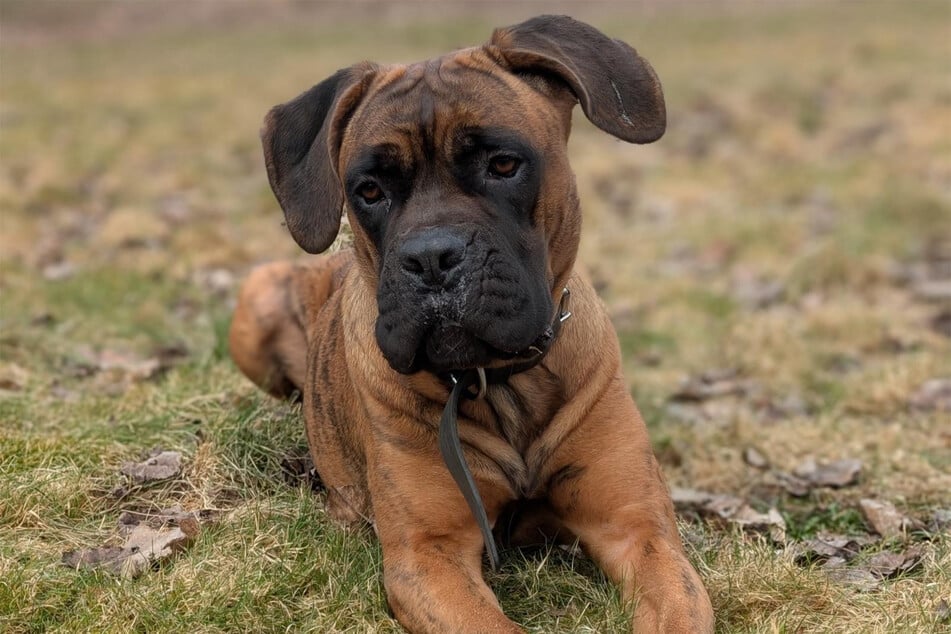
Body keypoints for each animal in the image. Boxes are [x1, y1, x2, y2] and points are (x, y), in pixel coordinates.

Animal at [232, 14, 712, 632]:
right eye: (369, 191)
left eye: (502, 164)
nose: (431, 257)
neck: (501, 381)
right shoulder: (428, 556)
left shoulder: (637, 529)